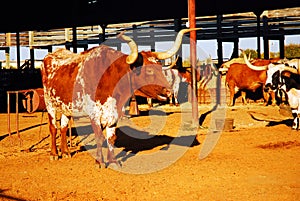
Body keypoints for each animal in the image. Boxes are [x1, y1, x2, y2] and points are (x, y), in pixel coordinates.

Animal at [40, 27, 199, 166]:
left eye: (160, 68)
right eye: (148, 71)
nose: (168, 91)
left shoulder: (114, 112)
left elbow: (111, 137)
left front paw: (113, 161)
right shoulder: (94, 113)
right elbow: (99, 136)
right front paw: (99, 161)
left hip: (66, 106)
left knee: (63, 127)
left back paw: (66, 152)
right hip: (50, 104)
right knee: (53, 127)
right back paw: (54, 154)